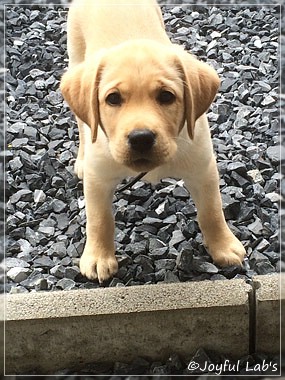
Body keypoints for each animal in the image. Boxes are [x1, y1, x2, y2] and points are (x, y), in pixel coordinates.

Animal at [60, 0, 244, 282]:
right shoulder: (98, 177)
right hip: (75, 54)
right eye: (113, 99)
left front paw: (224, 246)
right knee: (83, 124)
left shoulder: (202, 168)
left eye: (166, 96)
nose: (141, 138)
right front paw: (98, 257)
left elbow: (212, 211)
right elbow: (99, 219)